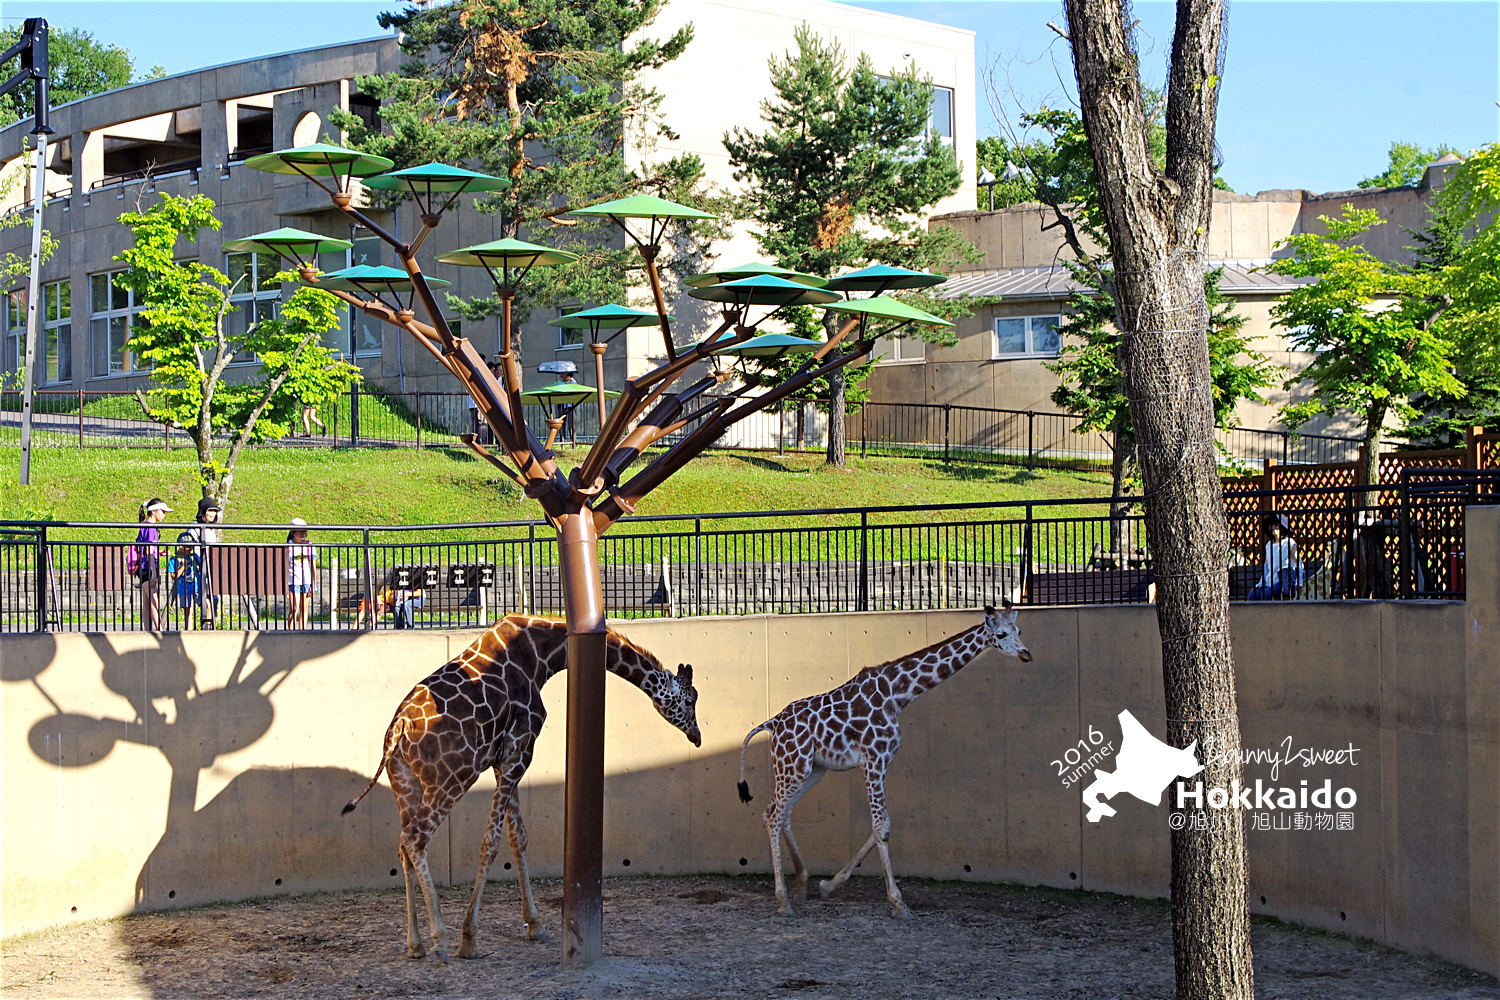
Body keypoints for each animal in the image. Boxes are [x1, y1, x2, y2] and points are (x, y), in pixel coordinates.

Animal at [343, 611, 699, 959]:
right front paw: (469, 939)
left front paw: (535, 925)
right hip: (452, 778)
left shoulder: (503, 760)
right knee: (416, 839)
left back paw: (414, 944)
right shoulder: (520, 749)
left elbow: (519, 838)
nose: (696, 736)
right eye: (690, 700)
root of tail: (399, 729)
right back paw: (440, 940)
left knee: (403, 845)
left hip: (405, 783)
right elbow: (492, 841)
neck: (545, 655)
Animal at [738, 605, 1032, 917]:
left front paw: (829, 885)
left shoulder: (881, 761)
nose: (1026, 653)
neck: (898, 695)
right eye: (1001, 634)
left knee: (779, 814)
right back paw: (783, 900)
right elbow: (881, 827)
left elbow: (880, 826)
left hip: (810, 771)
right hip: (792, 767)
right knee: (773, 816)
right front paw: (898, 902)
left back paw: (802, 883)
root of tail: (771, 724)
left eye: (1019, 630)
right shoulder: (873, 759)